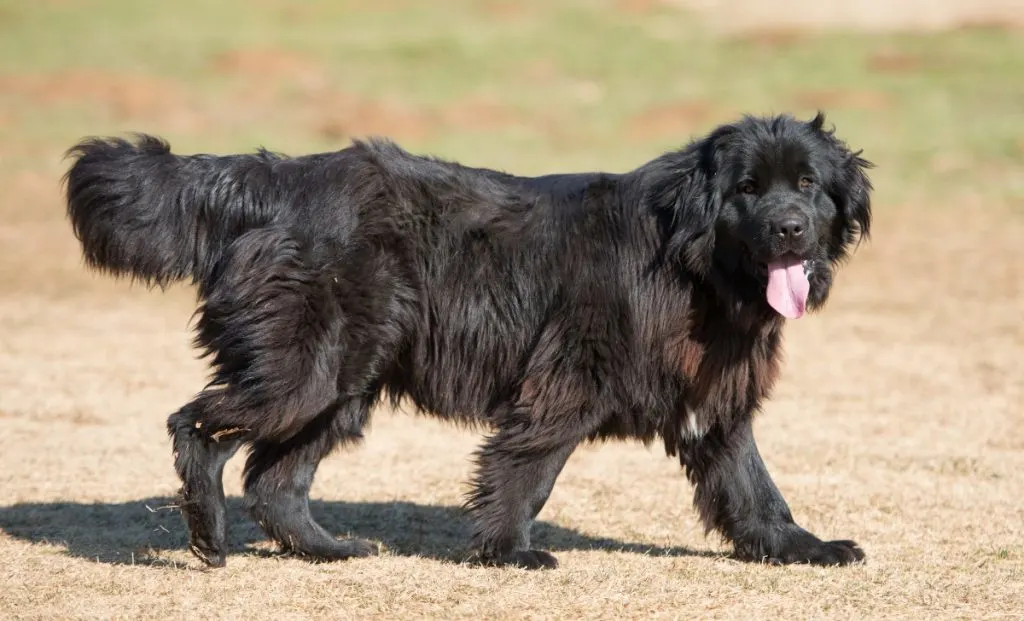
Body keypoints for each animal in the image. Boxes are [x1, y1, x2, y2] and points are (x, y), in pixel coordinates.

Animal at [61, 113, 872, 573]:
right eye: (747, 188)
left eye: (809, 184)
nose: (791, 228)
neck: (690, 255)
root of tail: (276, 180)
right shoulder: (565, 379)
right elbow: (527, 469)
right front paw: (507, 552)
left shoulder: (713, 398)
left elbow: (753, 485)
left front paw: (802, 548)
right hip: (304, 370)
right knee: (196, 428)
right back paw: (207, 535)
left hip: (343, 381)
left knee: (274, 479)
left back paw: (329, 549)